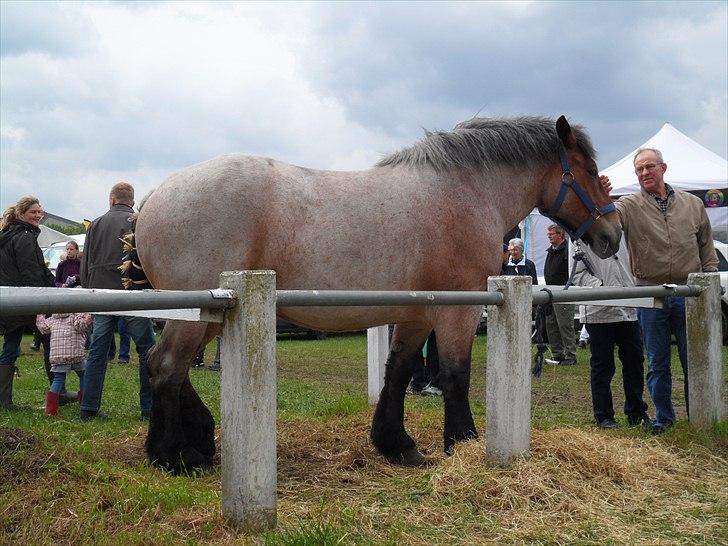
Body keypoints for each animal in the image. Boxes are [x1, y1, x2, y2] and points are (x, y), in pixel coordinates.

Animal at [131, 115, 620, 472]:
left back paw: (195, 441)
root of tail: (154, 197)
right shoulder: (458, 310)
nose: (611, 235)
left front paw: (396, 444)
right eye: (592, 172)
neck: (464, 193)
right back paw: (171, 455)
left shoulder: (418, 314)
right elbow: (455, 375)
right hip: (199, 311)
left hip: (208, 313)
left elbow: (398, 372)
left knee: (168, 367)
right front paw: (462, 442)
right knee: (167, 366)